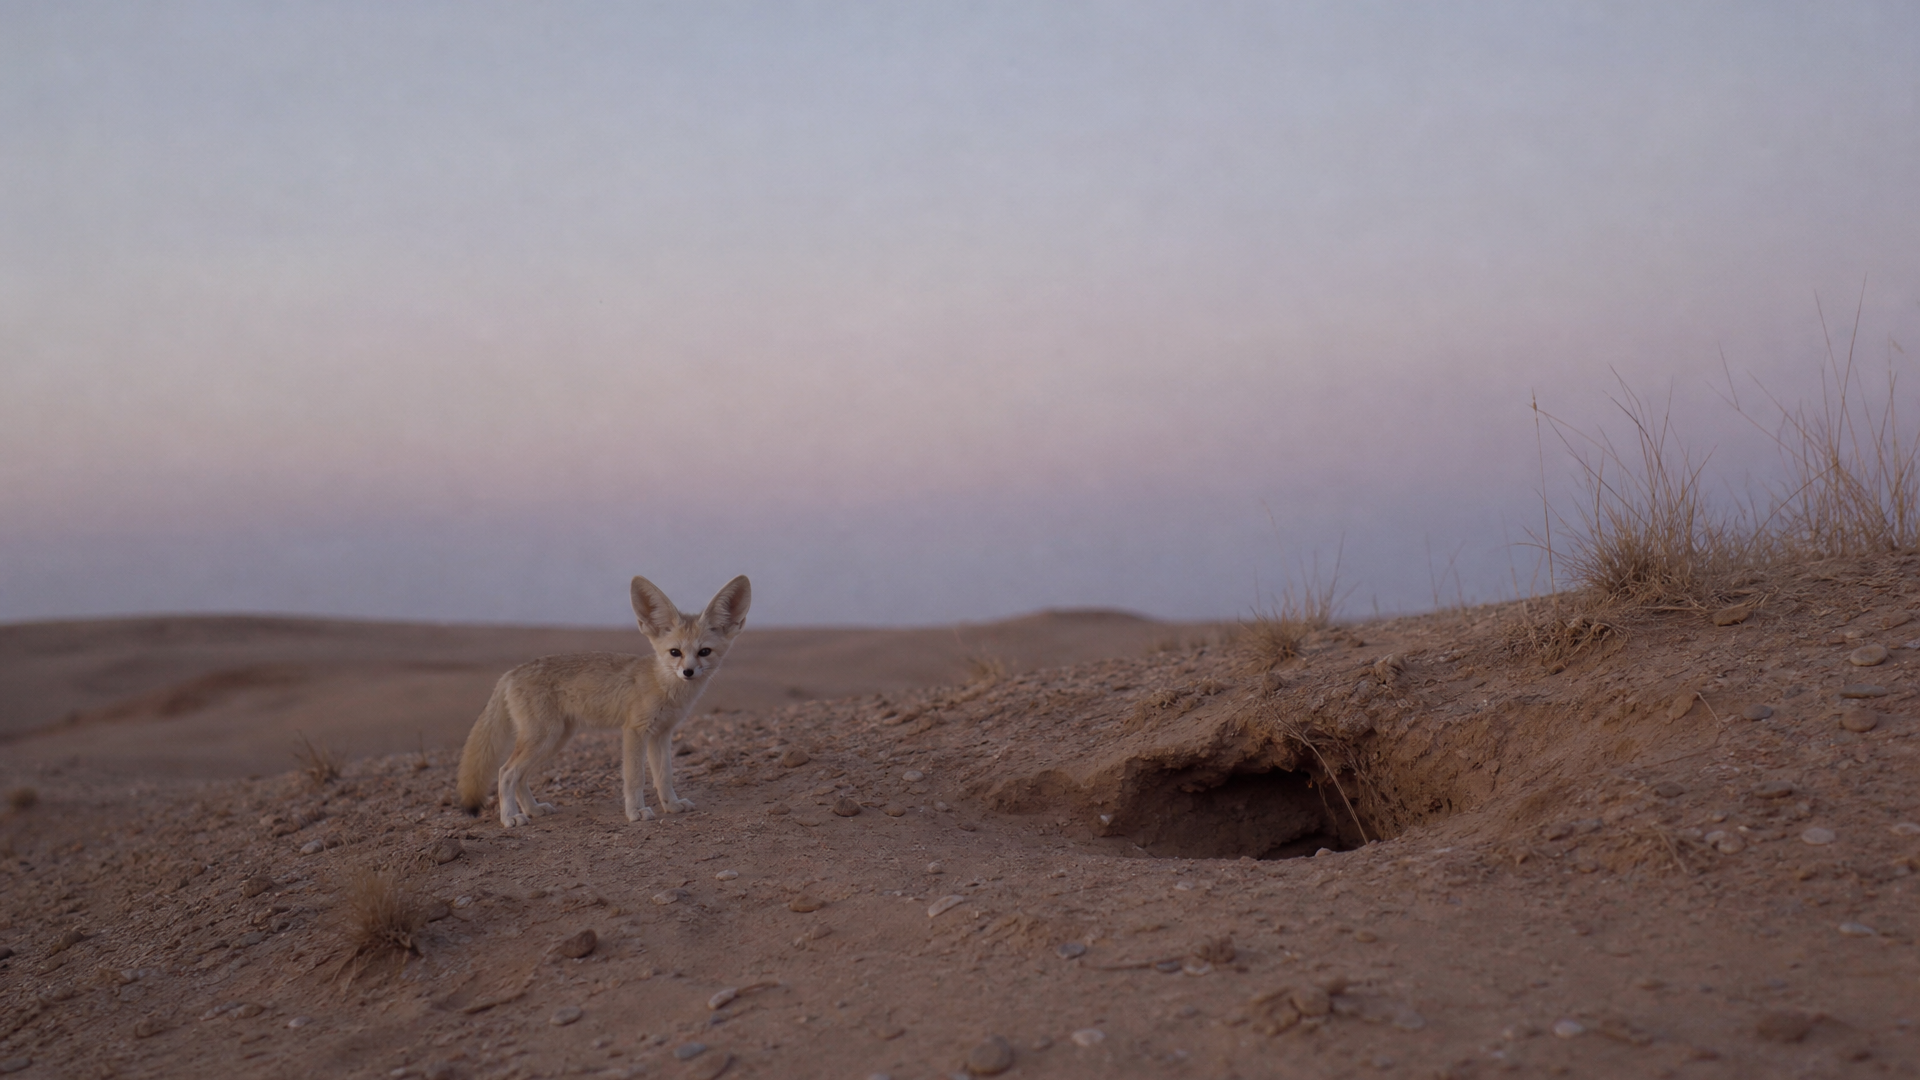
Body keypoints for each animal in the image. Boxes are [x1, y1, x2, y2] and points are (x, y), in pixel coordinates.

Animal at [457, 574, 751, 828]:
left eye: (704, 652)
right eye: (675, 652)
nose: (688, 672)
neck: (664, 686)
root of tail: (510, 673)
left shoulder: (662, 734)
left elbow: (664, 776)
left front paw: (672, 805)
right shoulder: (634, 731)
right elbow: (635, 777)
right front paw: (636, 812)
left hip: (555, 740)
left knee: (520, 777)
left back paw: (533, 809)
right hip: (543, 739)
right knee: (505, 772)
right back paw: (510, 818)